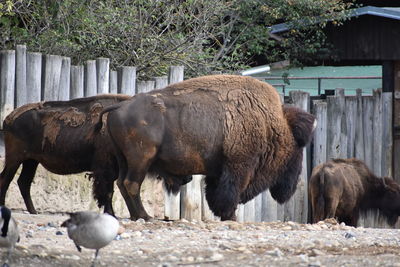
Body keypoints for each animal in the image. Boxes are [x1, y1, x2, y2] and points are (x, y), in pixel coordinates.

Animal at [0, 95, 131, 217]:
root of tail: (8, 118)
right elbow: (108, 192)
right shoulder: (105, 169)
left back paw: (34, 211)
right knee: (6, 179)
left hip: (31, 161)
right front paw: (111, 214)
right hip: (15, 159)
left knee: (24, 182)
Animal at [96, 74, 316, 221]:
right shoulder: (239, 167)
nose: (292, 183)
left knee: (122, 183)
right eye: (298, 148)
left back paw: (137, 216)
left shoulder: (218, 172)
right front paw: (230, 217)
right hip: (141, 159)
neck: (270, 124)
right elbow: (229, 194)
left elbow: (215, 195)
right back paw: (145, 216)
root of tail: (120, 106)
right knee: (132, 184)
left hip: (124, 159)